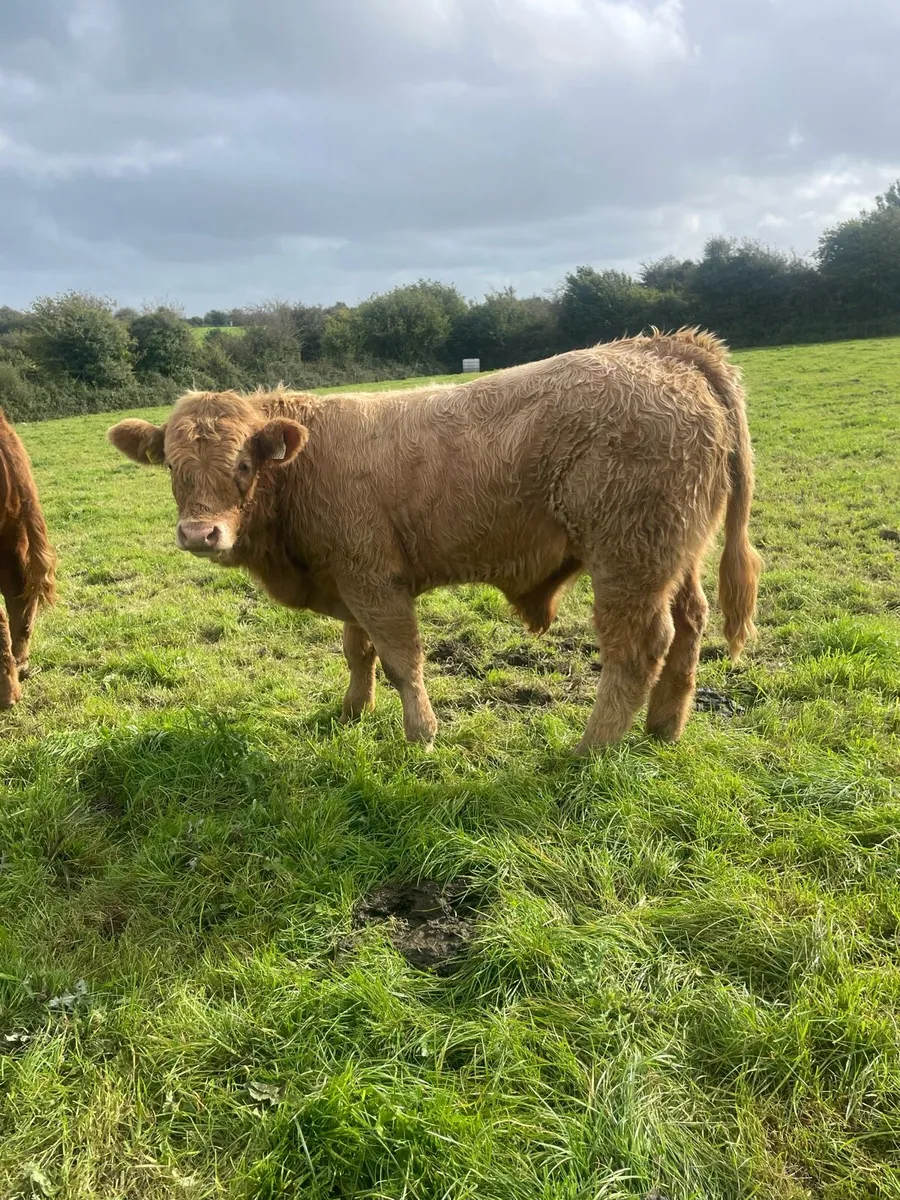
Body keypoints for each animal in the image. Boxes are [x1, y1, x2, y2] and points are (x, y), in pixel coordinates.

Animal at [107, 328, 762, 754]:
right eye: (172, 466)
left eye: (244, 464)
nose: (200, 532)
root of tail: (665, 346)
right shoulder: (350, 578)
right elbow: (359, 652)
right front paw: (351, 713)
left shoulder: (375, 579)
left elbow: (401, 660)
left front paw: (421, 735)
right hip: (675, 554)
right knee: (691, 621)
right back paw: (663, 729)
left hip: (628, 558)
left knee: (638, 647)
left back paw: (590, 750)